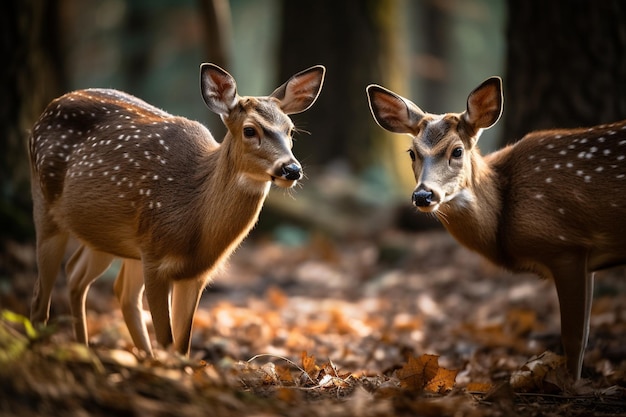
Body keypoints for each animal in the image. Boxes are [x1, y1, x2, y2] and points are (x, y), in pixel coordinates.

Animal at [28, 61, 326, 354]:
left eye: (290, 130)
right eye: (250, 130)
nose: (292, 169)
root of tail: (46, 110)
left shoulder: (194, 274)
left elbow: (181, 345)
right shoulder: (156, 261)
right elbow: (166, 339)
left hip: (109, 237)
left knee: (89, 280)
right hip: (46, 206)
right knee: (42, 299)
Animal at [364, 76, 624, 378]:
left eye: (457, 150)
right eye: (412, 153)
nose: (423, 195)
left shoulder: (565, 245)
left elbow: (574, 339)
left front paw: (572, 385)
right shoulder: (585, 259)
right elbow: (584, 334)